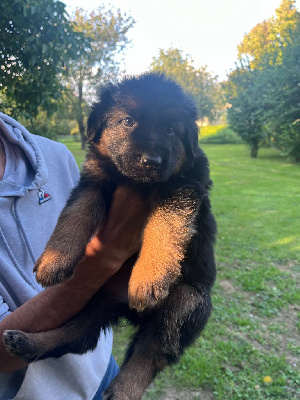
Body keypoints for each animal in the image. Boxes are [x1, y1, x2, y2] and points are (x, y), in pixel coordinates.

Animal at [3, 73, 217, 398]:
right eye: (128, 121)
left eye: (171, 129)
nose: (152, 161)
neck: (139, 183)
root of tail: (130, 311)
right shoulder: (95, 180)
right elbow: (75, 215)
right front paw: (54, 259)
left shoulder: (182, 187)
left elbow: (165, 226)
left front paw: (149, 276)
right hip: (95, 296)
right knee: (79, 335)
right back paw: (29, 343)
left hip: (187, 302)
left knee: (152, 352)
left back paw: (122, 389)